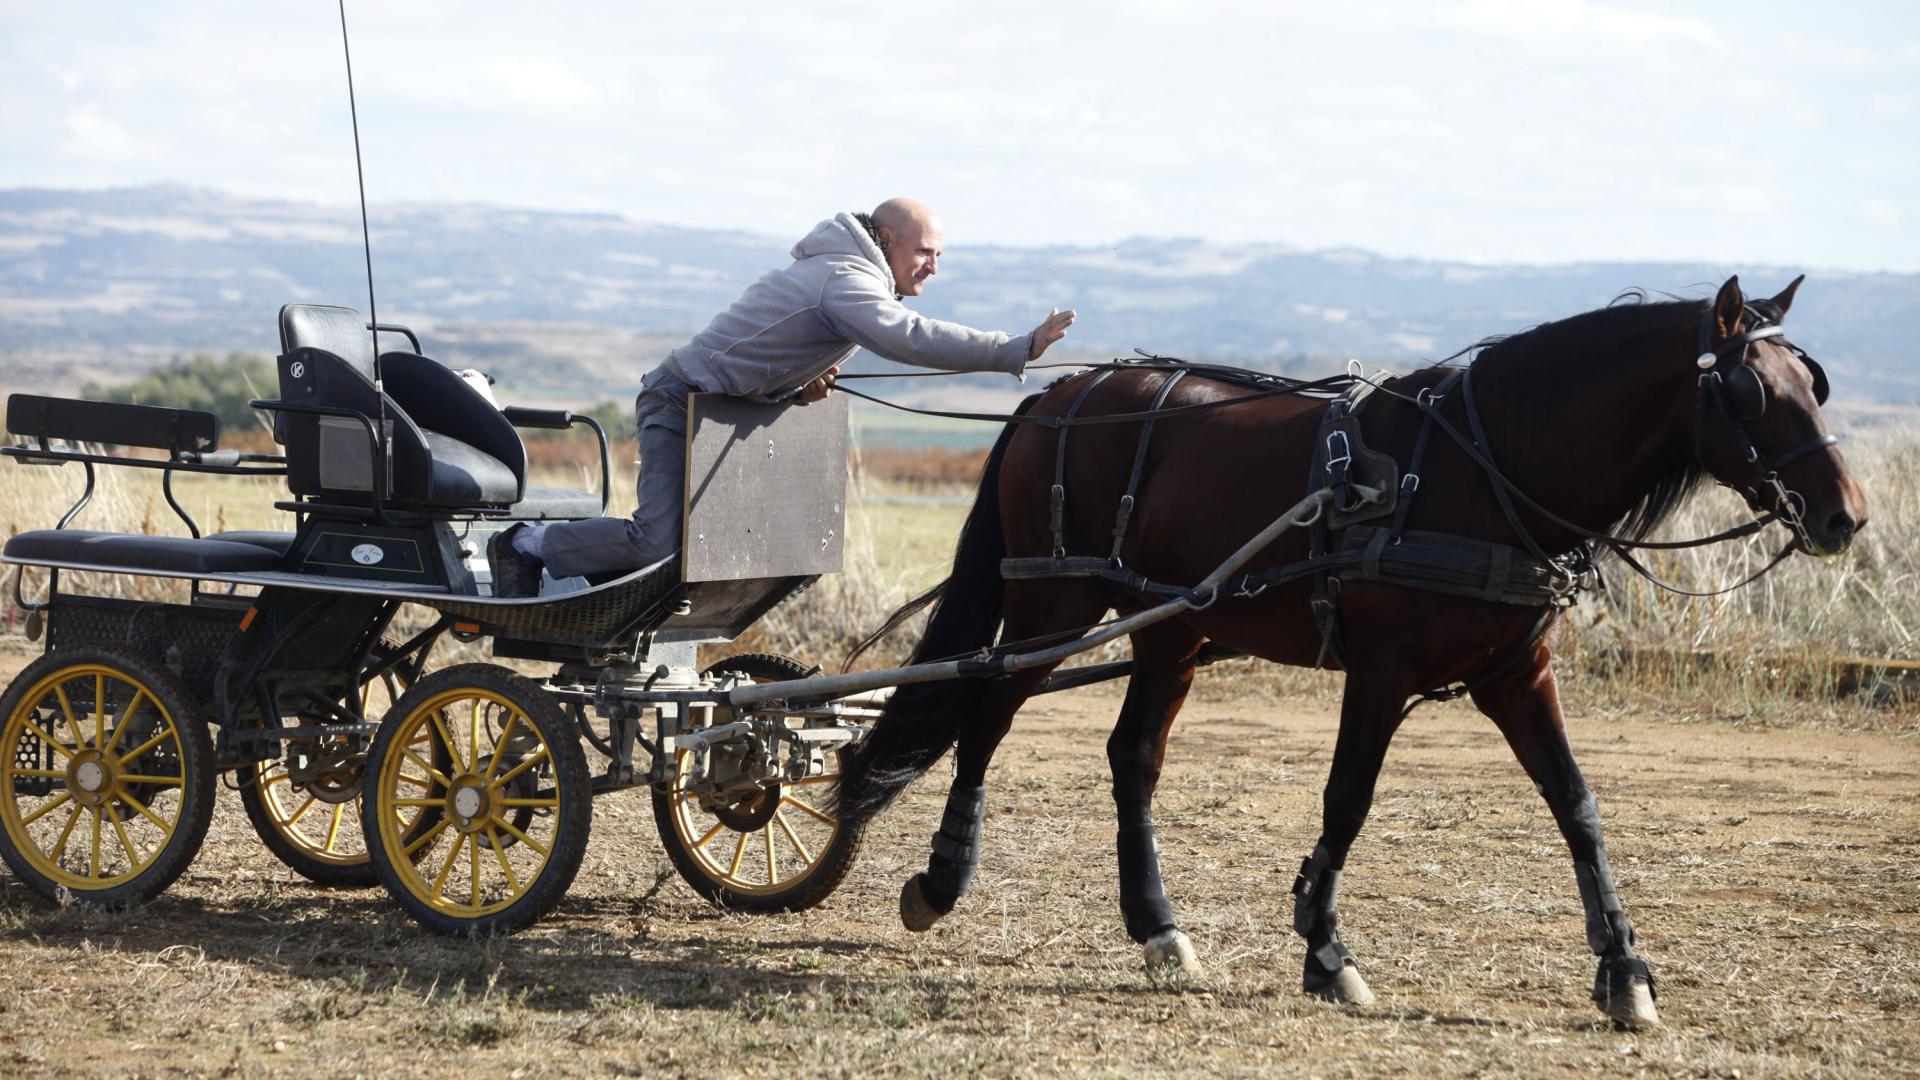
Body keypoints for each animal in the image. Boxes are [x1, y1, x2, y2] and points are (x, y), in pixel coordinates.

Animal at [832, 275, 1867, 1028]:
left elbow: (1578, 806)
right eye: (1751, 393)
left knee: (1132, 758)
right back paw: (942, 879)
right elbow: (1349, 799)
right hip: (1055, 602)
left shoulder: (1517, 673)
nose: (1844, 516)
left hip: (1171, 626)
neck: (1482, 472)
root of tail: (1061, 392)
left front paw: (1625, 972)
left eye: (1814, 387)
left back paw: (1159, 929)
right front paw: (1328, 953)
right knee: (985, 717)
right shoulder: (1381, 670)